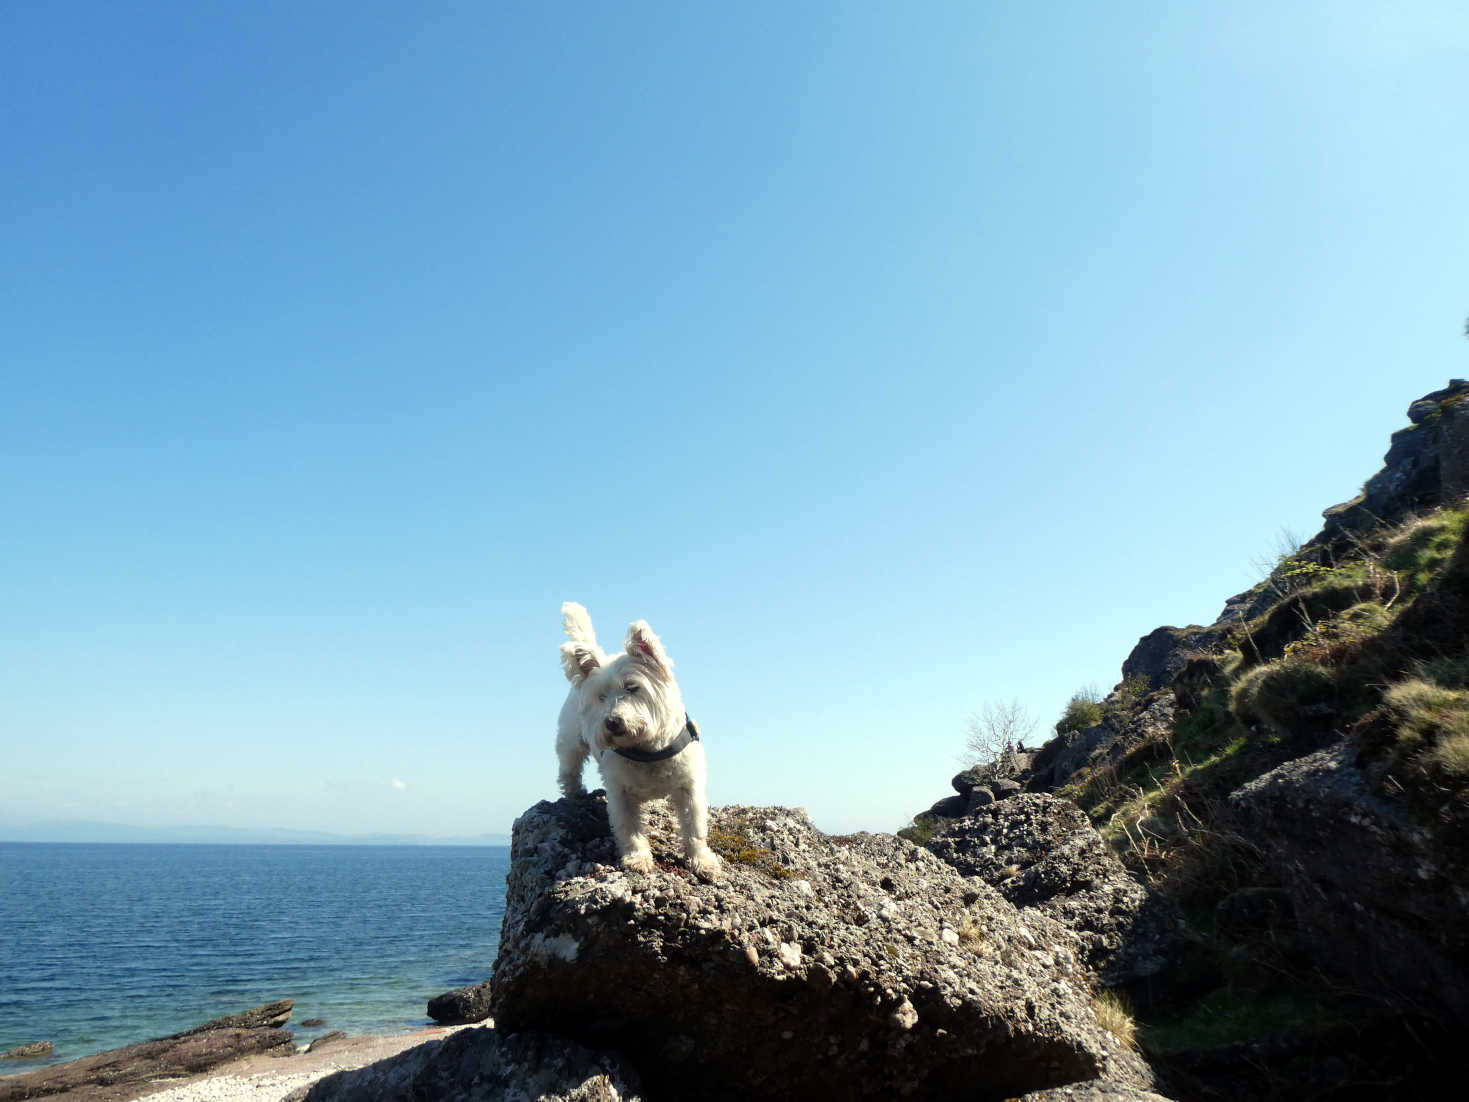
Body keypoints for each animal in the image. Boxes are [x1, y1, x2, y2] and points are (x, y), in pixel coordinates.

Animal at [555, 605, 722, 881]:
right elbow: (629, 827)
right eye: (601, 697)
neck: (646, 749)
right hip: (570, 743)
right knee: (568, 769)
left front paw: (702, 861)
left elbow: (694, 826)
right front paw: (637, 859)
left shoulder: (689, 786)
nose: (612, 722)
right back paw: (574, 793)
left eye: (632, 687)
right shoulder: (620, 792)